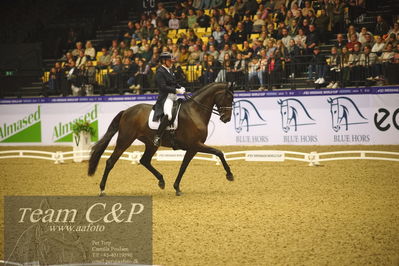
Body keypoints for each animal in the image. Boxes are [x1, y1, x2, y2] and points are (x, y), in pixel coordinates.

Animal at [88, 82, 234, 196]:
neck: (195, 111)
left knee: (144, 160)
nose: (226, 119)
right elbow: (219, 153)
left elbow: (183, 166)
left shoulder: (192, 148)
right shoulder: (196, 144)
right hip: (125, 140)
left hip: (151, 144)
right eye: (228, 97)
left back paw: (161, 181)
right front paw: (230, 175)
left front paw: (177, 187)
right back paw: (102, 190)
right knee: (110, 161)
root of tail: (126, 111)